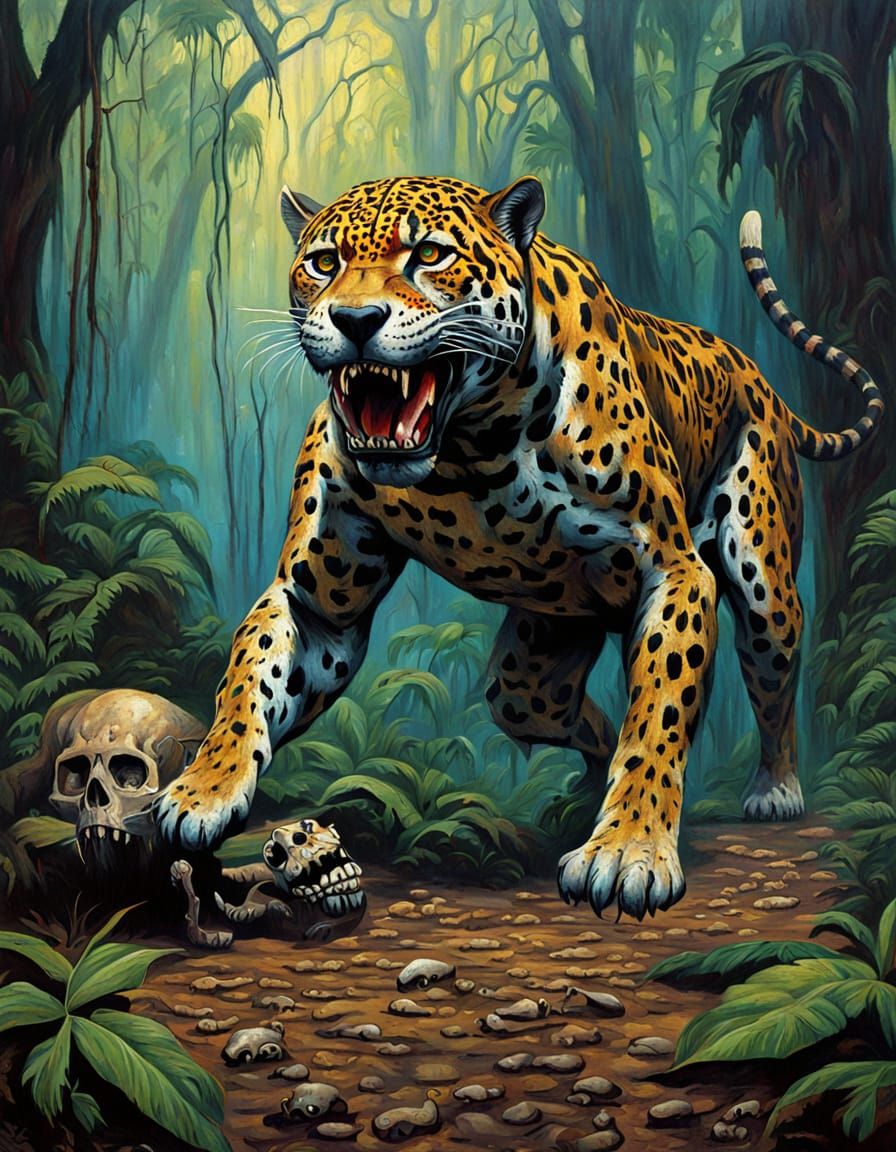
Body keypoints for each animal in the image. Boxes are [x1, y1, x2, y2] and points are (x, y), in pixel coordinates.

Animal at [155, 174, 882, 919]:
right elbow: (248, 678)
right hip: (534, 662)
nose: (356, 319)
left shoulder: (674, 572)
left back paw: (775, 788)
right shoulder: (318, 605)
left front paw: (629, 851)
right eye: (323, 263)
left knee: (771, 678)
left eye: (430, 255)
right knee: (554, 708)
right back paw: (589, 786)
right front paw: (205, 789)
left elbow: (658, 718)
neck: (469, 449)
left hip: (764, 587)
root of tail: (758, 376)